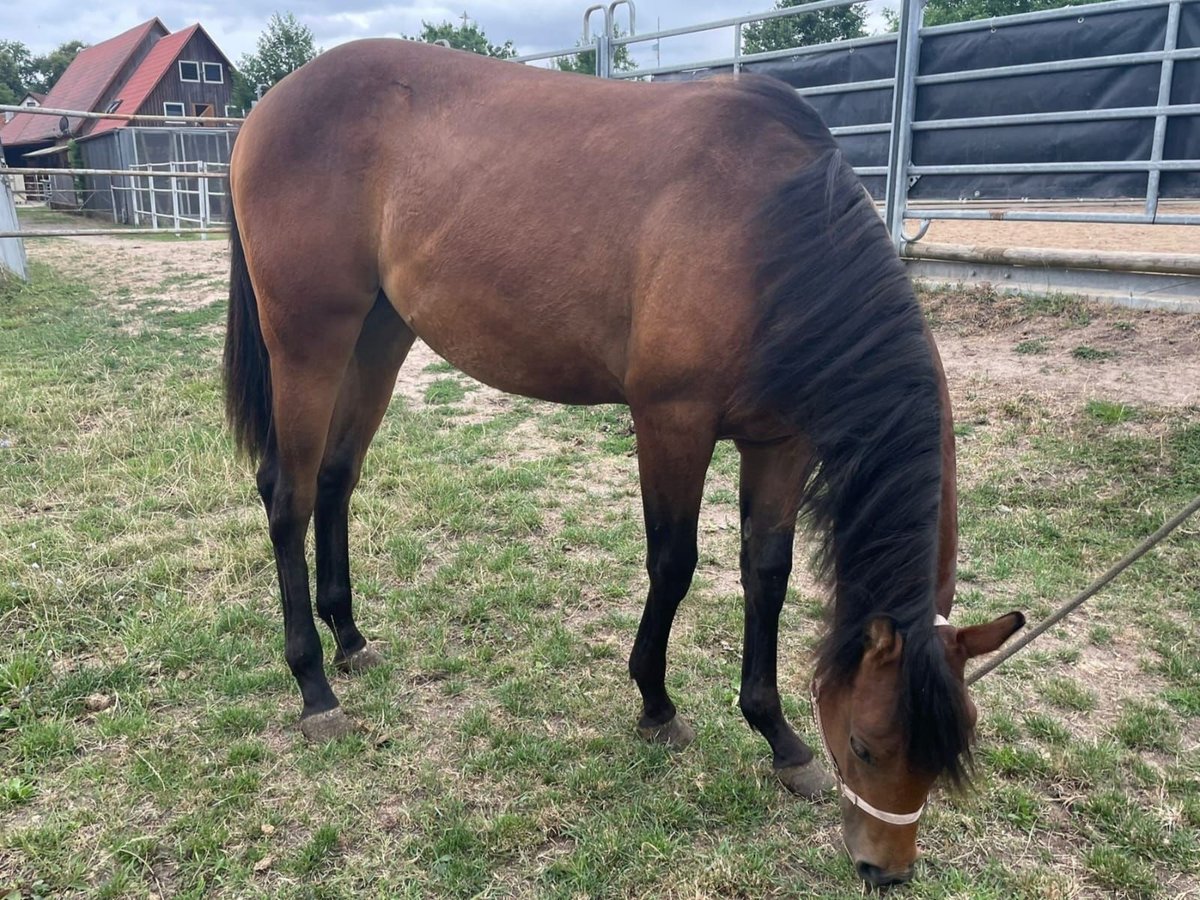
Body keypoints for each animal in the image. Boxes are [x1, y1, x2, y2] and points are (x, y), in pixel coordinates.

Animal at [222, 39, 1023, 887]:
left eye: (945, 758)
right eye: (869, 746)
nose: (884, 870)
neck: (772, 236)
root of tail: (269, 109)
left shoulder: (780, 443)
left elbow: (765, 574)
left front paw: (778, 737)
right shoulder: (671, 422)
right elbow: (673, 564)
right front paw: (656, 704)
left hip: (379, 333)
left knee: (336, 479)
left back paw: (349, 636)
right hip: (308, 339)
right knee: (287, 497)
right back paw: (314, 686)